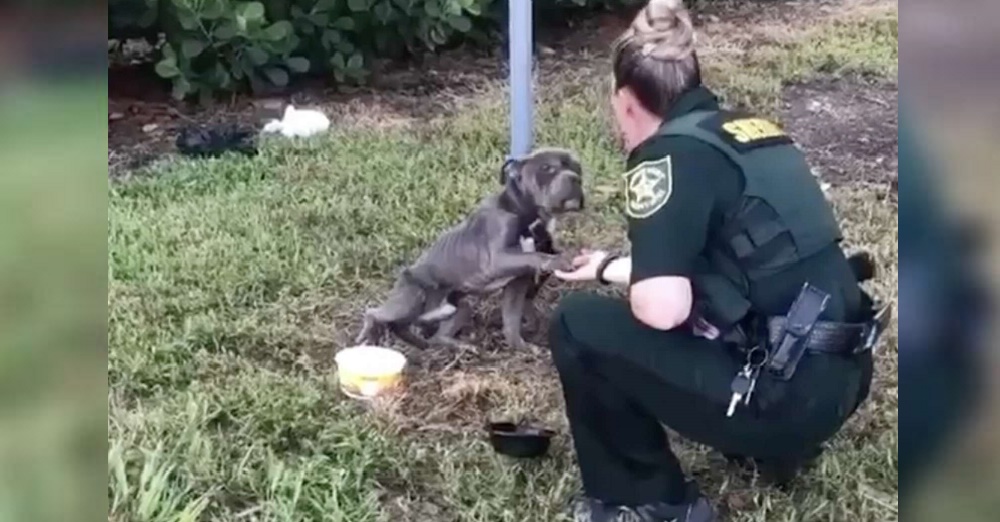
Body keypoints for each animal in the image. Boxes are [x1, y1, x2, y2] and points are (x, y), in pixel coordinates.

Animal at [356, 146, 584, 350]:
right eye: (546, 168)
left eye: (577, 167)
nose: (575, 178)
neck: (526, 215)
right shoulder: (498, 259)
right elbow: (537, 256)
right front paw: (559, 260)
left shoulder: (517, 284)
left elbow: (512, 321)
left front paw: (523, 346)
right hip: (412, 298)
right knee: (375, 313)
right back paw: (370, 334)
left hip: (460, 307)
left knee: (430, 335)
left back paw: (451, 346)